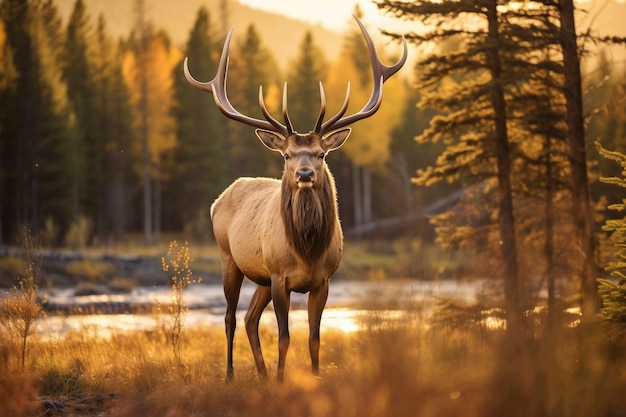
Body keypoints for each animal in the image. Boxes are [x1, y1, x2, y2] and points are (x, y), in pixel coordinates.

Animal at [183, 16, 408, 380]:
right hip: (229, 258)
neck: (307, 250)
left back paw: (260, 374)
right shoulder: (280, 278)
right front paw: (281, 380)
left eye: (321, 154)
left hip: (260, 275)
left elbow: (314, 337)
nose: (304, 174)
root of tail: (219, 199)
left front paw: (313, 377)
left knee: (250, 318)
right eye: (287, 155)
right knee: (231, 317)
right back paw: (231, 375)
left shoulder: (323, 280)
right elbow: (285, 336)